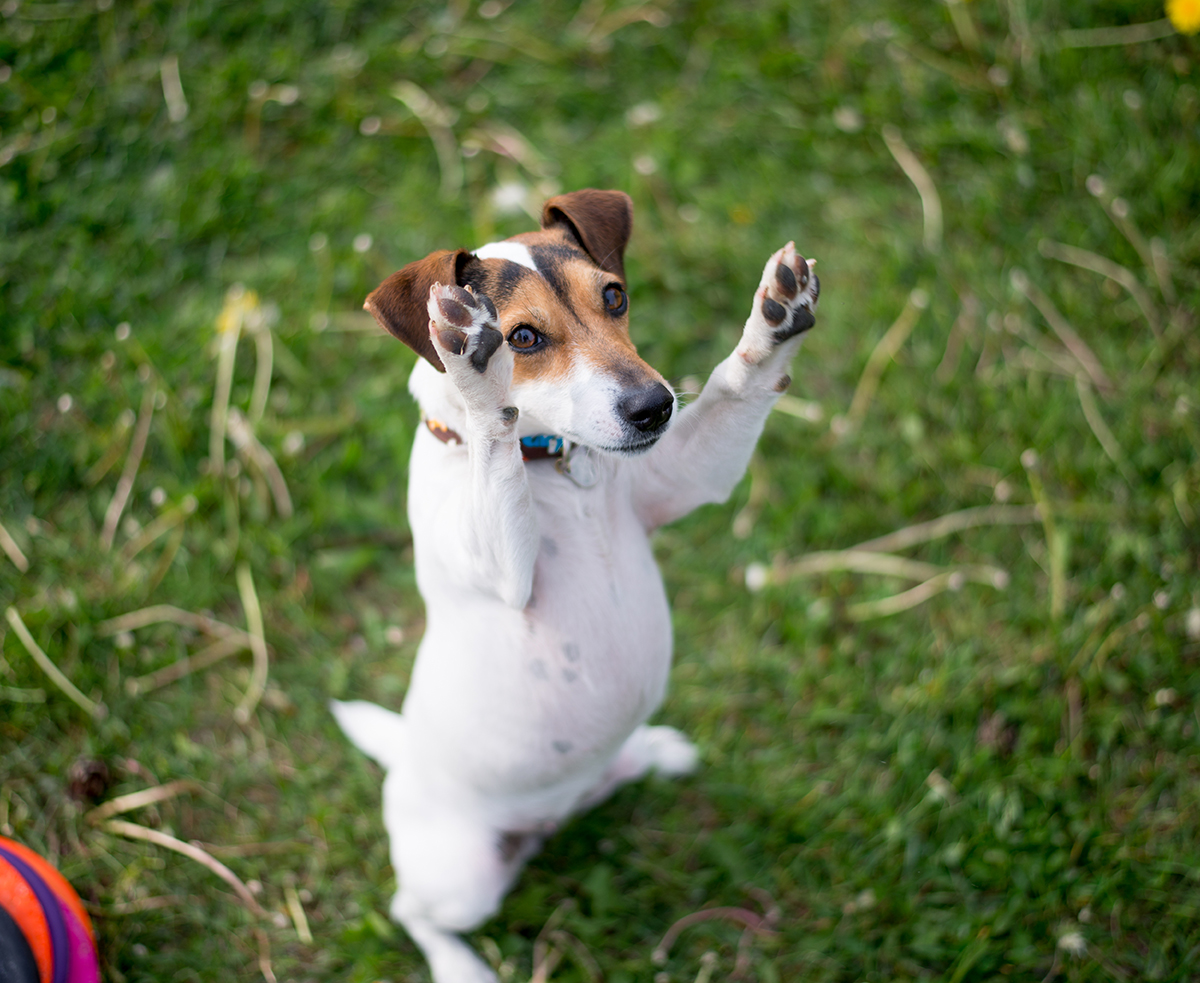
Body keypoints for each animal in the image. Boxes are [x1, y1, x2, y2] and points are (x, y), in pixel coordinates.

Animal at [333, 188, 820, 979]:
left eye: (614, 297)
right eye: (523, 338)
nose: (654, 407)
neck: (561, 464)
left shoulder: (688, 477)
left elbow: (736, 385)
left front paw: (774, 321)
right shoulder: (501, 570)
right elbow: (491, 436)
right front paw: (475, 369)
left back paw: (648, 753)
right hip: (462, 878)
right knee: (413, 913)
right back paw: (461, 964)